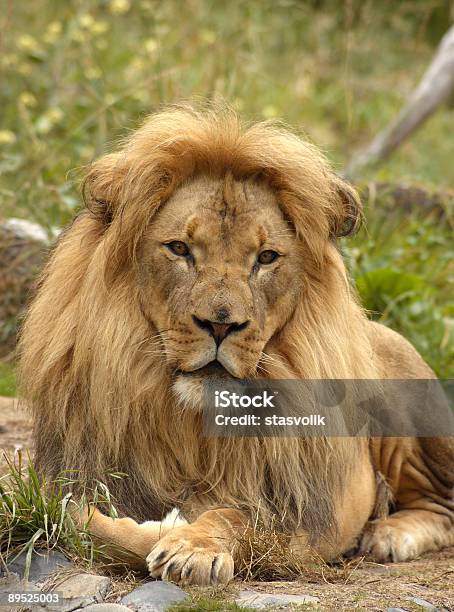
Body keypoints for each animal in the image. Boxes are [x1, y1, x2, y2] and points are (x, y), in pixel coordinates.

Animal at [19, 104, 454, 584]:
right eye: (179, 248)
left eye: (265, 258)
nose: (220, 325)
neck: (191, 426)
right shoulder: (71, 479)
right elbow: (81, 523)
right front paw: (160, 527)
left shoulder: (300, 517)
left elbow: (235, 517)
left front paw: (191, 544)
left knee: (441, 506)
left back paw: (388, 535)